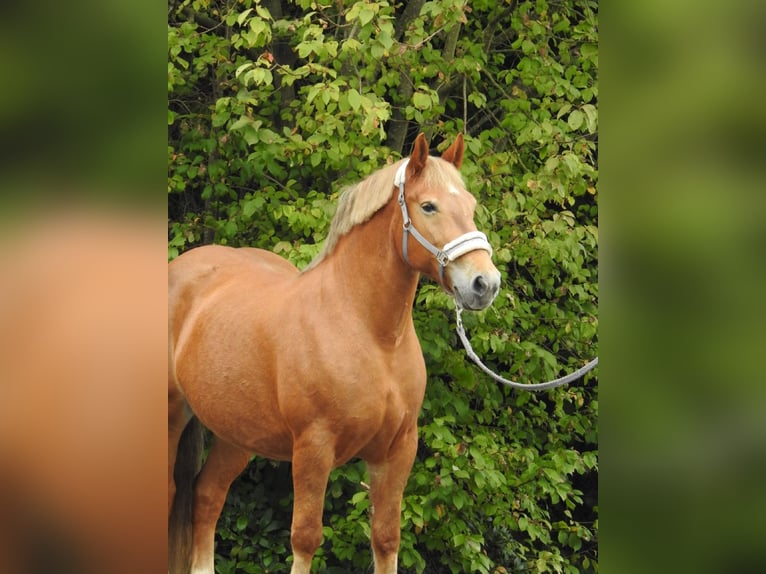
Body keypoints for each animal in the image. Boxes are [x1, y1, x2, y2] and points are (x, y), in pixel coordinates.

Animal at [170, 133, 504, 572]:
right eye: (428, 206)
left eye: (470, 204)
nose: (485, 284)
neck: (372, 335)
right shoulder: (313, 449)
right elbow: (306, 537)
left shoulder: (397, 450)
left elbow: (386, 538)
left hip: (236, 434)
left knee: (207, 497)